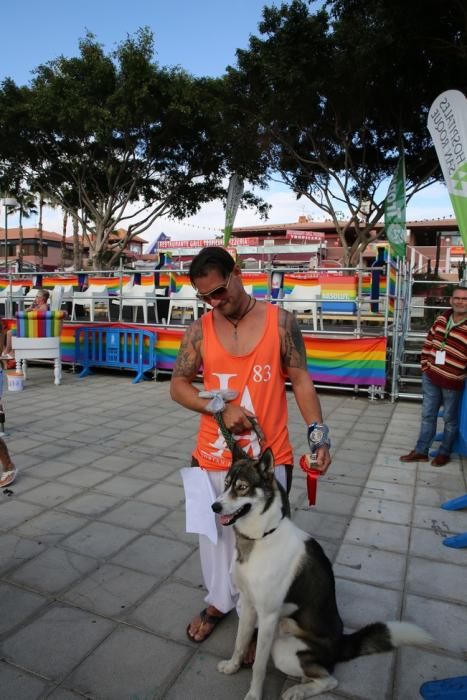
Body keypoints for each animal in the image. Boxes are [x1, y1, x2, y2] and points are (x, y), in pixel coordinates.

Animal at [214, 448, 434, 700]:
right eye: (226, 484)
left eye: (242, 487)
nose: (214, 507)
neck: (262, 537)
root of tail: (341, 644)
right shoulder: (249, 604)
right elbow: (240, 643)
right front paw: (232, 666)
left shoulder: (268, 616)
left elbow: (259, 665)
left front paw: (253, 695)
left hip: (282, 648)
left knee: (329, 679)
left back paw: (298, 690)